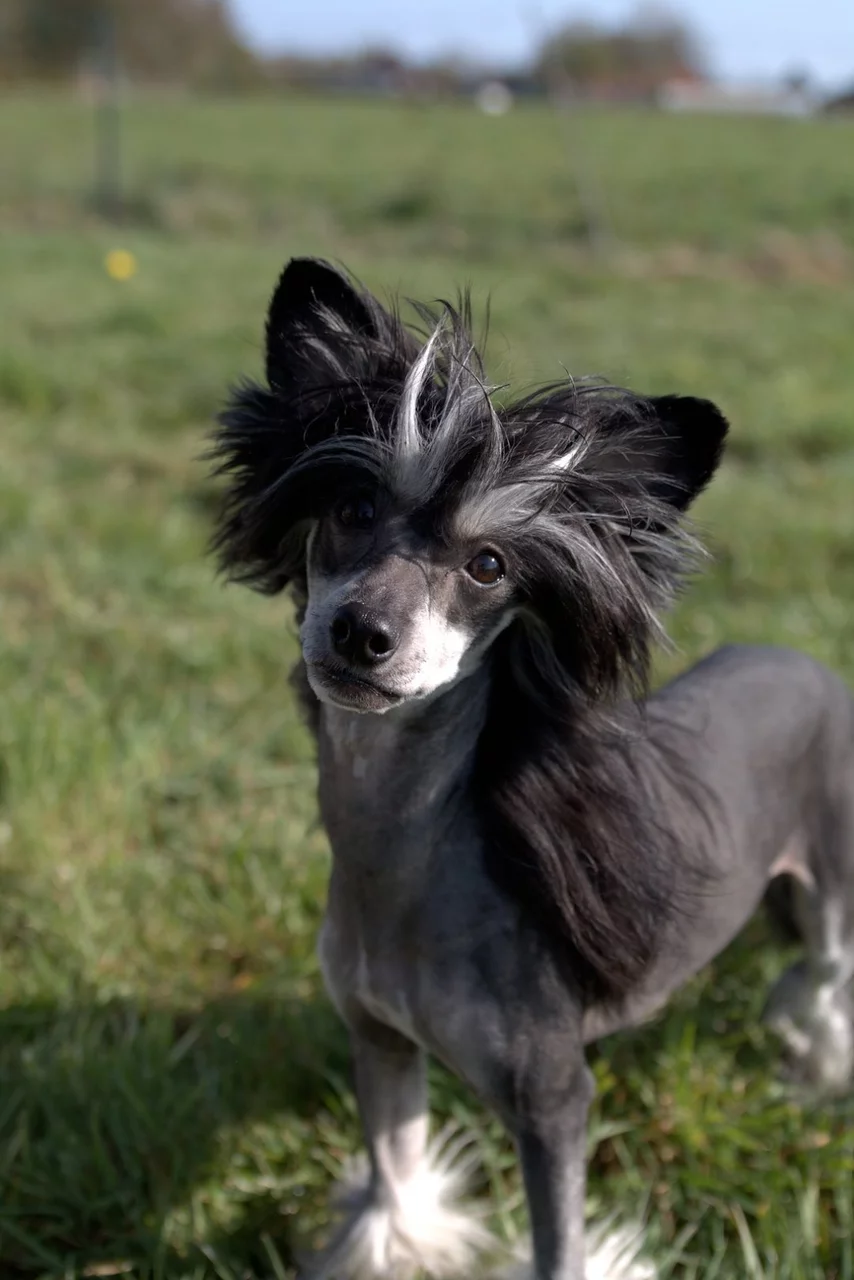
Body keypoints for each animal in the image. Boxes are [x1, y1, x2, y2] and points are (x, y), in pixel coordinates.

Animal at [211, 257, 854, 1279]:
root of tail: (807, 660)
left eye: (488, 565)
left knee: (827, 982)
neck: (403, 862)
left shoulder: (552, 1101)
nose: (362, 634)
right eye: (351, 509)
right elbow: (395, 1182)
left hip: (832, 885)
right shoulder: (379, 1041)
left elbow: (561, 1244)